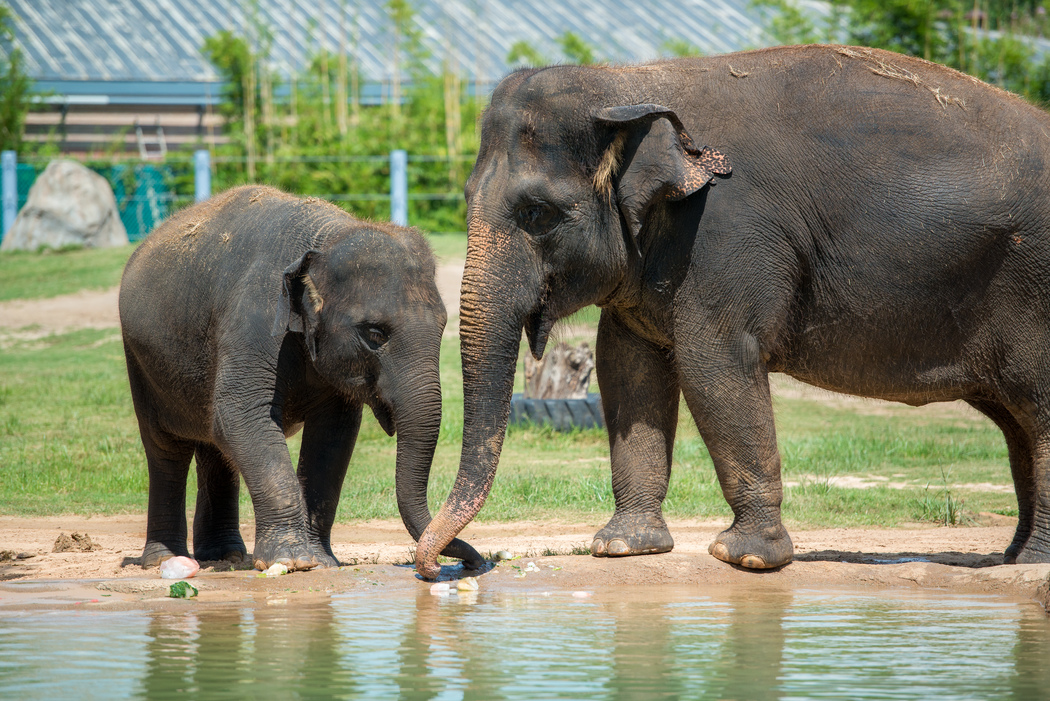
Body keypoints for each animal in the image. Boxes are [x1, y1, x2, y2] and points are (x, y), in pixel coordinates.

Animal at [119, 185, 481, 571]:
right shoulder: (254, 320)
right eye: (374, 333)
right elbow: (242, 416)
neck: (325, 237)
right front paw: (292, 560)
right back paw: (164, 559)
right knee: (166, 451)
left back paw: (225, 556)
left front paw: (321, 561)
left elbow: (333, 437)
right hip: (140, 363)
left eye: (443, 326)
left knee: (214, 448)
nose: (467, 563)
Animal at [414, 44, 1050, 578]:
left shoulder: (727, 232)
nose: (453, 564)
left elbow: (712, 364)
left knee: (1037, 413)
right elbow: (626, 366)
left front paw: (745, 558)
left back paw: (1027, 565)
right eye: (465, 199)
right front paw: (623, 547)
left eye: (537, 213)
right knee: (1018, 423)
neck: (629, 81)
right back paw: (1013, 559)